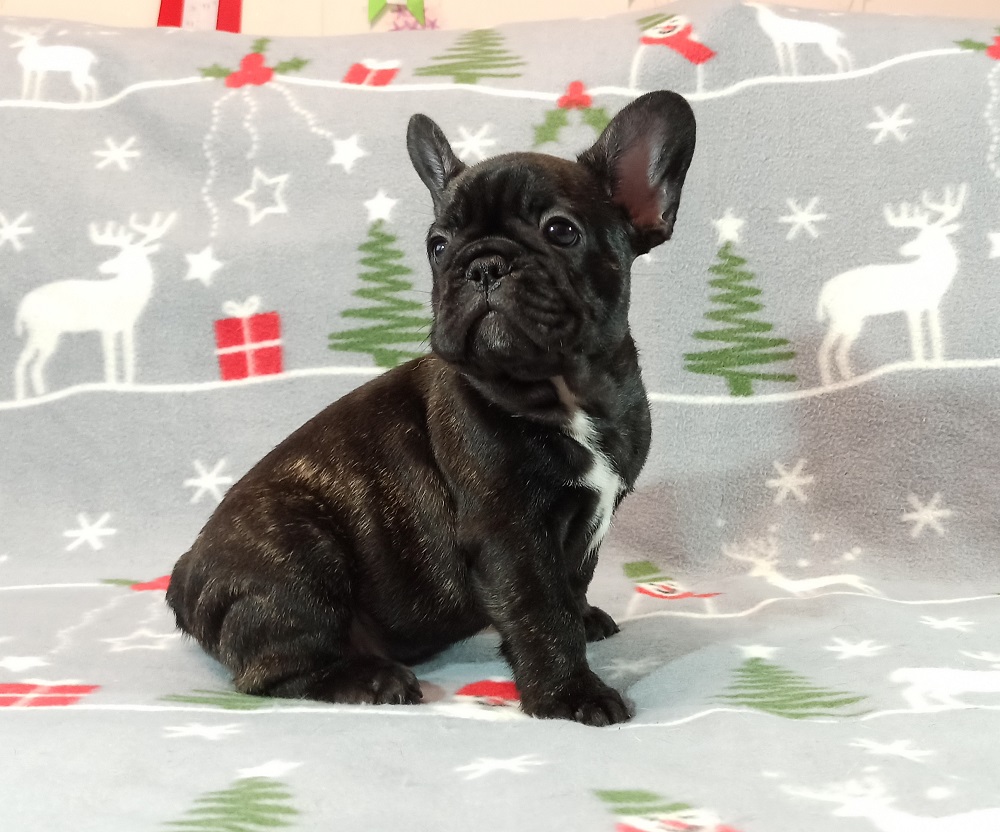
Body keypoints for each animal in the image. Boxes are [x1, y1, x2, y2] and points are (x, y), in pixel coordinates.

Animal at [13, 213, 177, 400]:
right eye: (119, 254)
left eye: (126, 257)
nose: (103, 266)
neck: (127, 293)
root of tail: (23, 306)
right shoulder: (106, 325)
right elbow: (110, 357)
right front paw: (112, 385)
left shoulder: (127, 325)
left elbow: (129, 354)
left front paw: (129, 385)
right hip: (42, 330)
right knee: (27, 363)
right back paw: (29, 397)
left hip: (42, 333)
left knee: (29, 364)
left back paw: (34, 395)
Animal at [166, 90, 696, 726]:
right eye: (437, 247)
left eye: (561, 230)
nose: (483, 264)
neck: (565, 391)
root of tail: (183, 576)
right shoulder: (509, 532)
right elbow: (541, 614)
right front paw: (570, 694)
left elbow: (570, 587)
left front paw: (581, 623)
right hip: (298, 559)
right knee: (271, 669)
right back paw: (371, 680)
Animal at [816, 185, 966, 385]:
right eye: (919, 235)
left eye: (929, 237)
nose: (904, 249)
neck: (930, 274)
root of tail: (824, 292)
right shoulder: (912, 305)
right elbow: (917, 336)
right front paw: (919, 364)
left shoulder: (931, 304)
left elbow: (936, 333)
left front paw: (937, 362)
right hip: (844, 317)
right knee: (827, 349)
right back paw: (835, 383)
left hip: (848, 320)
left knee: (837, 350)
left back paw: (846, 379)